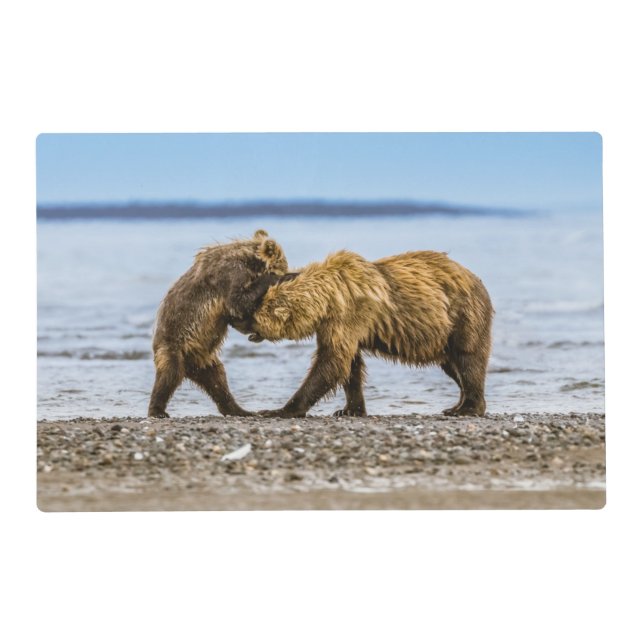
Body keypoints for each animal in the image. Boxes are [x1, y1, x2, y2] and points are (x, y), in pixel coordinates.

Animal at [147, 229, 289, 418]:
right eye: (285, 265)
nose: (288, 270)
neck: (249, 261)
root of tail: (189, 368)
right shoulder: (230, 274)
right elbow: (238, 301)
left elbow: (238, 312)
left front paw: (256, 333)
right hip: (173, 345)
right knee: (169, 375)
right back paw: (157, 410)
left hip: (203, 358)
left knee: (218, 380)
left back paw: (240, 410)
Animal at [237, 249, 493, 418]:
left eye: (253, 312)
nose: (240, 322)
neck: (327, 299)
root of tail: (476, 279)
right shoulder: (335, 325)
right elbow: (350, 365)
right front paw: (349, 409)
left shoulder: (350, 314)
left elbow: (331, 362)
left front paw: (279, 409)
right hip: (444, 335)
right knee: (452, 365)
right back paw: (458, 405)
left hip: (463, 316)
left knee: (468, 359)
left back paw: (468, 408)